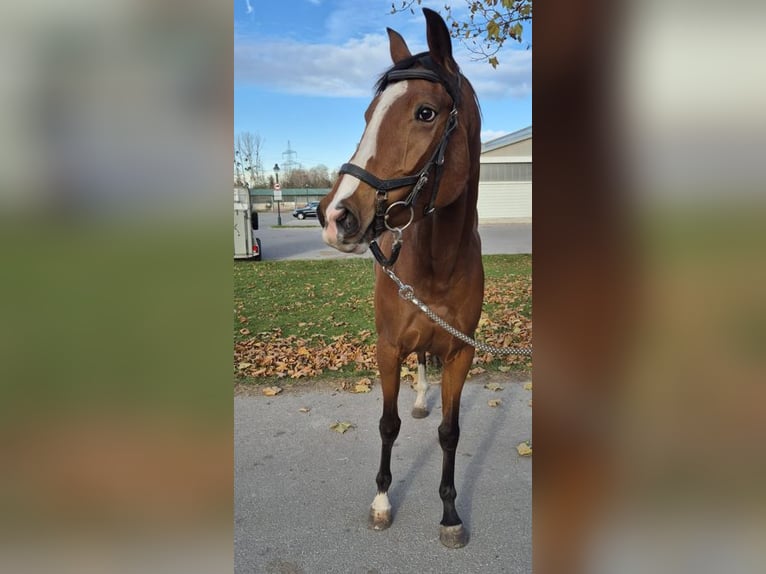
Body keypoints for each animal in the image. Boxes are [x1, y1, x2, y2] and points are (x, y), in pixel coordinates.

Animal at [316, 7, 484, 548]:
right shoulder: (387, 347)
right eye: (368, 114)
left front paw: (450, 514)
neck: (437, 262)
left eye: (425, 113)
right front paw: (382, 500)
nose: (335, 214)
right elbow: (387, 425)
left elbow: (450, 433)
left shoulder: (461, 352)